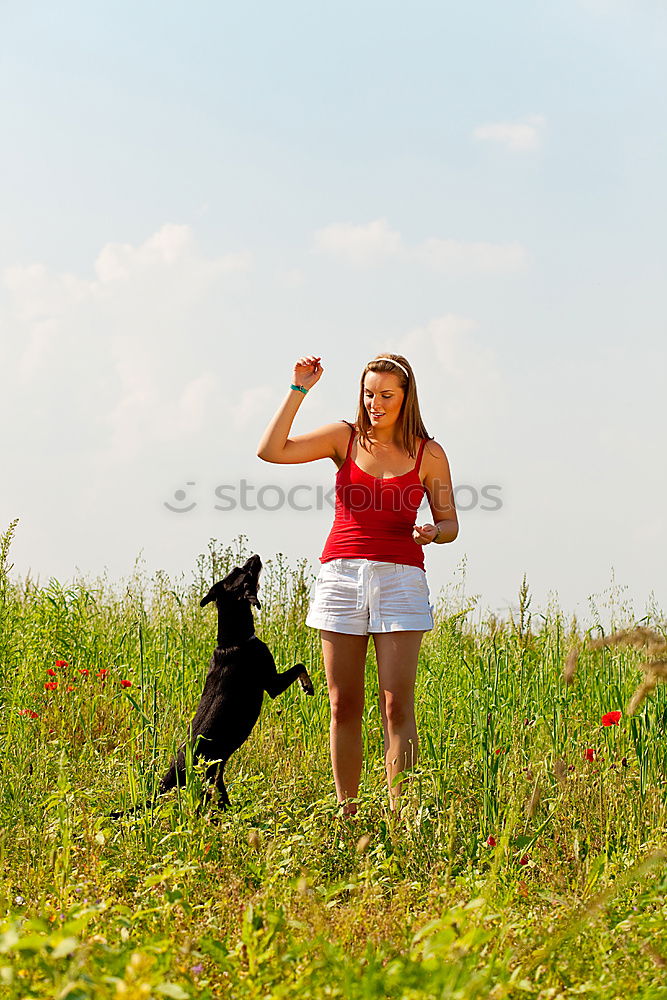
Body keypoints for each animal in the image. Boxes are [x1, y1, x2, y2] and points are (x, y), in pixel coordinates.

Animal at [111, 552, 314, 816]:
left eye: (237, 568)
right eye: (246, 572)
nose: (256, 556)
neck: (233, 640)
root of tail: (172, 773)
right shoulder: (272, 684)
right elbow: (300, 665)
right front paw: (307, 685)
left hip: (215, 775)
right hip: (208, 776)